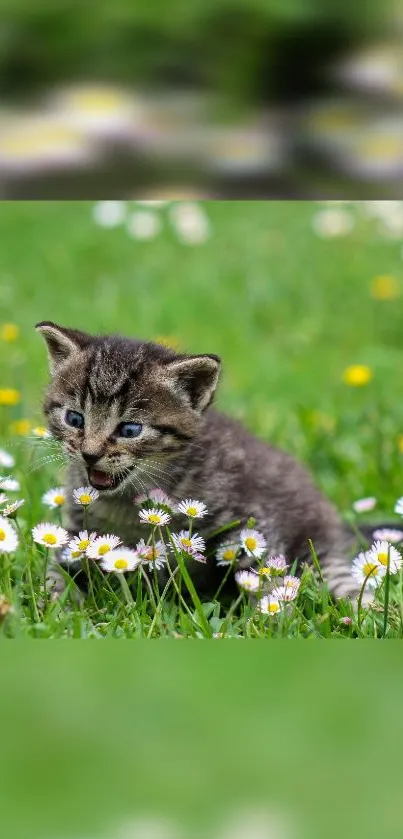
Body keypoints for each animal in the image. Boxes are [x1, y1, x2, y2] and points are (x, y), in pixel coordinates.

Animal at [35, 322, 362, 604]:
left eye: (130, 430)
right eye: (74, 419)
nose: (89, 454)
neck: (127, 501)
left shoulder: (248, 518)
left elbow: (263, 570)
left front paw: (271, 615)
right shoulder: (79, 527)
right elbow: (58, 569)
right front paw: (57, 603)